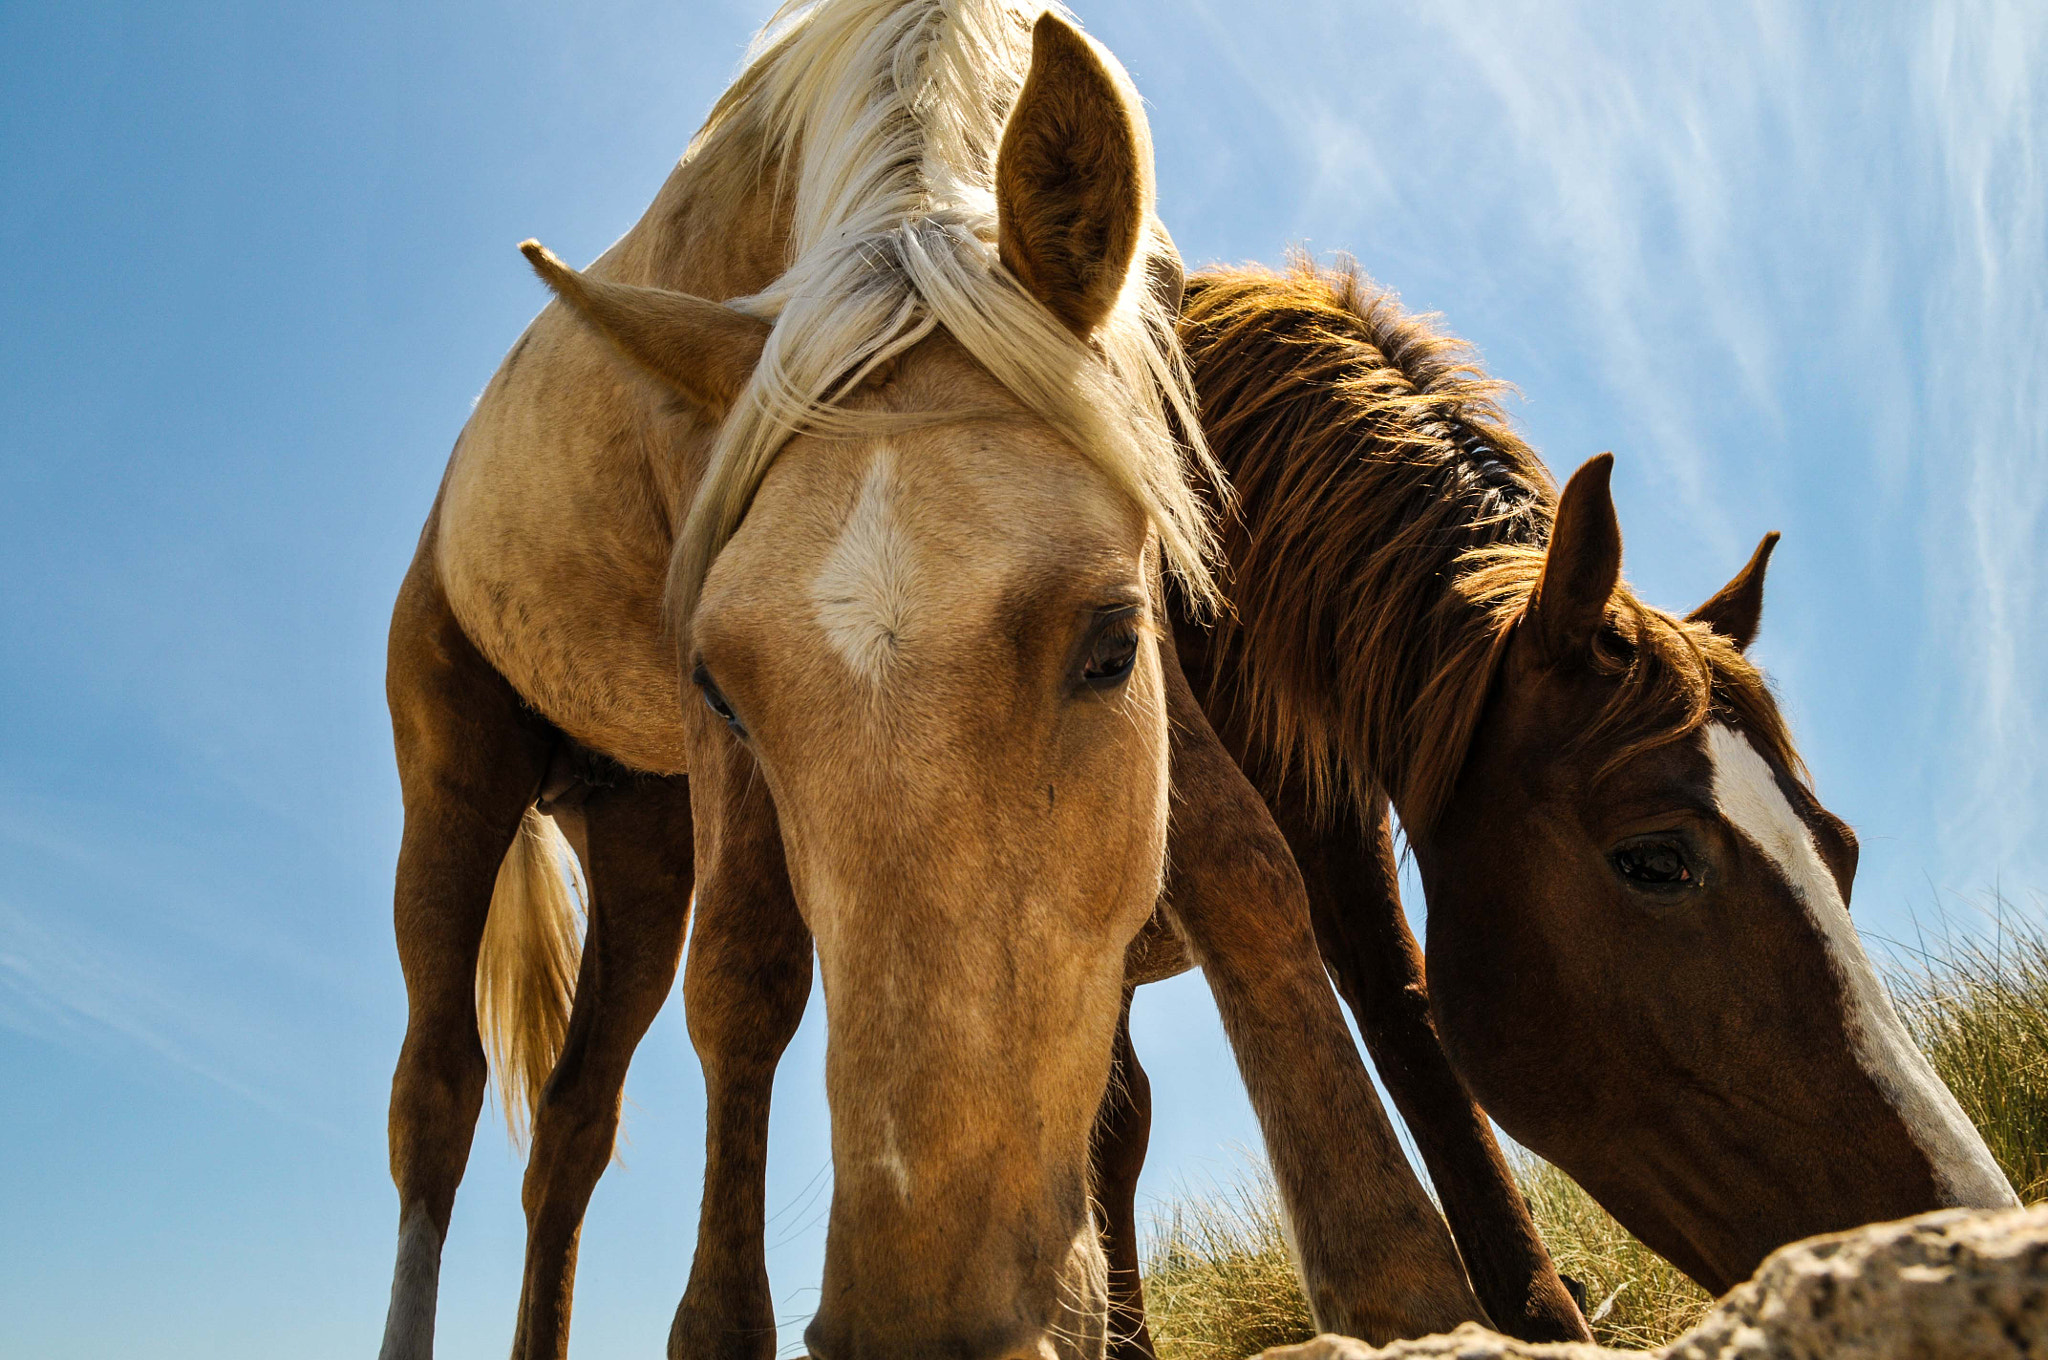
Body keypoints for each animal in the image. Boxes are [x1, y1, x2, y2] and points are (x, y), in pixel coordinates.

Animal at [375, 4, 1486, 1359]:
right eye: (726, 687)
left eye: (1111, 644)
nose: (926, 1322)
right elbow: (745, 973)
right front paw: (720, 1324)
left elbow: (1238, 860)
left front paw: (1398, 1279)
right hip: (456, 771)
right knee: (436, 1096)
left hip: (638, 835)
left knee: (573, 1128)